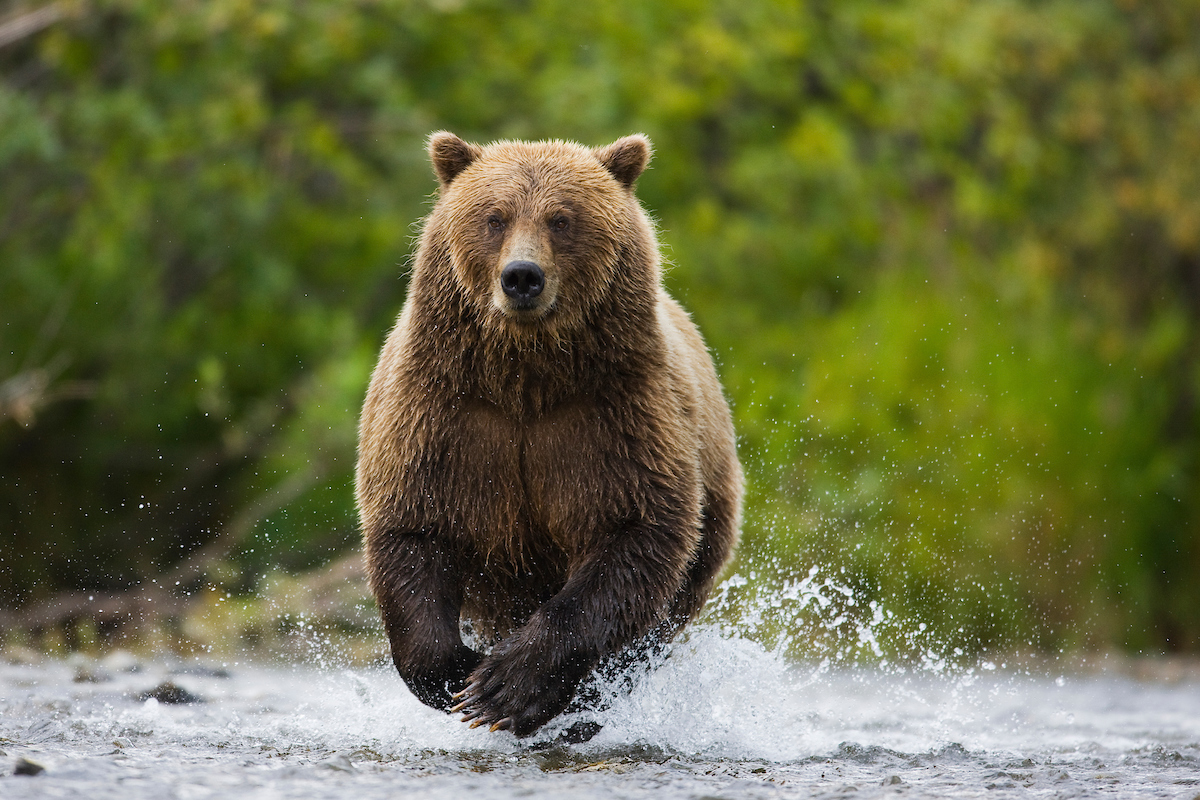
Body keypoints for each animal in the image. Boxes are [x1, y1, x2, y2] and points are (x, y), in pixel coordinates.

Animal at [355, 131, 739, 738]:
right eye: (494, 216)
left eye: (562, 218)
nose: (522, 277)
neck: (527, 377)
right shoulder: (441, 416)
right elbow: (412, 527)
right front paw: (456, 674)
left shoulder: (616, 419)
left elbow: (633, 534)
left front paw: (506, 687)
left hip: (711, 518)